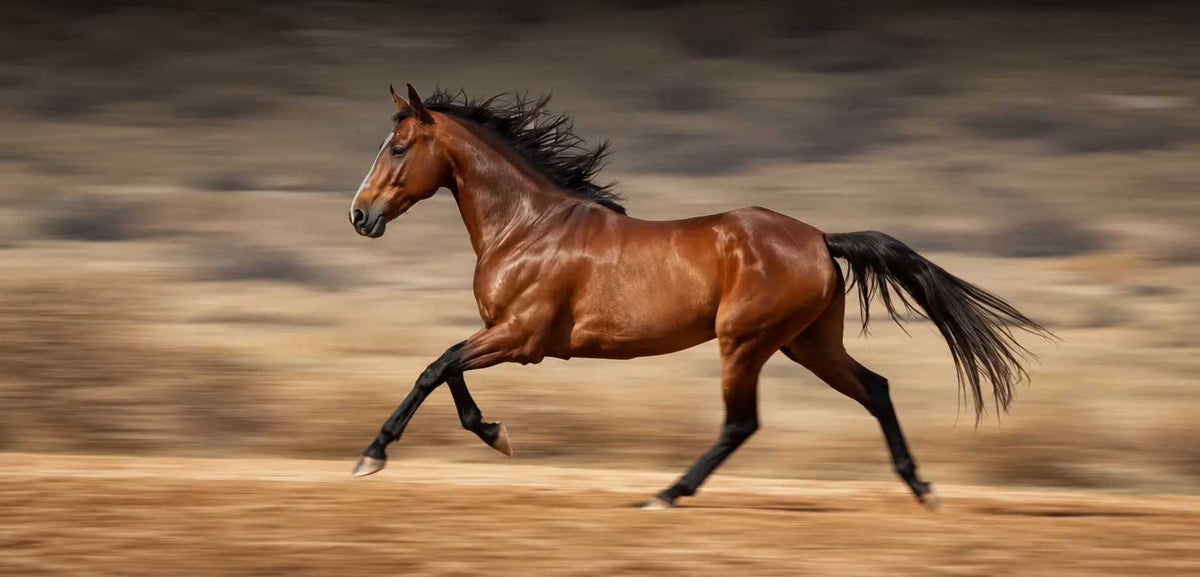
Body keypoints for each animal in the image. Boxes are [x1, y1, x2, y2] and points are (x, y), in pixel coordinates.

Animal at [347, 84, 1050, 510]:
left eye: (399, 147)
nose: (359, 215)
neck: (528, 226)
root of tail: (820, 238)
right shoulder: (506, 335)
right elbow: (449, 373)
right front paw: (494, 433)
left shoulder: (521, 338)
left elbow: (436, 366)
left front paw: (373, 455)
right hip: (807, 344)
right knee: (875, 388)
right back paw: (921, 487)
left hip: (746, 343)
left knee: (742, 422)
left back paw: (666, 493)